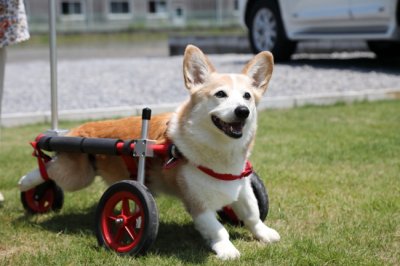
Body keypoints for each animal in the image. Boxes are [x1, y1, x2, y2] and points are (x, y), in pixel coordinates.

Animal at [18, 44, 280, 258]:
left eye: (247, 96)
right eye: (220, 94)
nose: (242, 111)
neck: (220, 151)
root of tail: (74, 131)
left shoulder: (242, 186)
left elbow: (252, 213)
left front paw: (265, 233)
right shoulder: (197, 203)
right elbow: (217, 228)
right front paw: (227, 249)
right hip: (77, 175)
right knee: (48, 167)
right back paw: (28, 184)